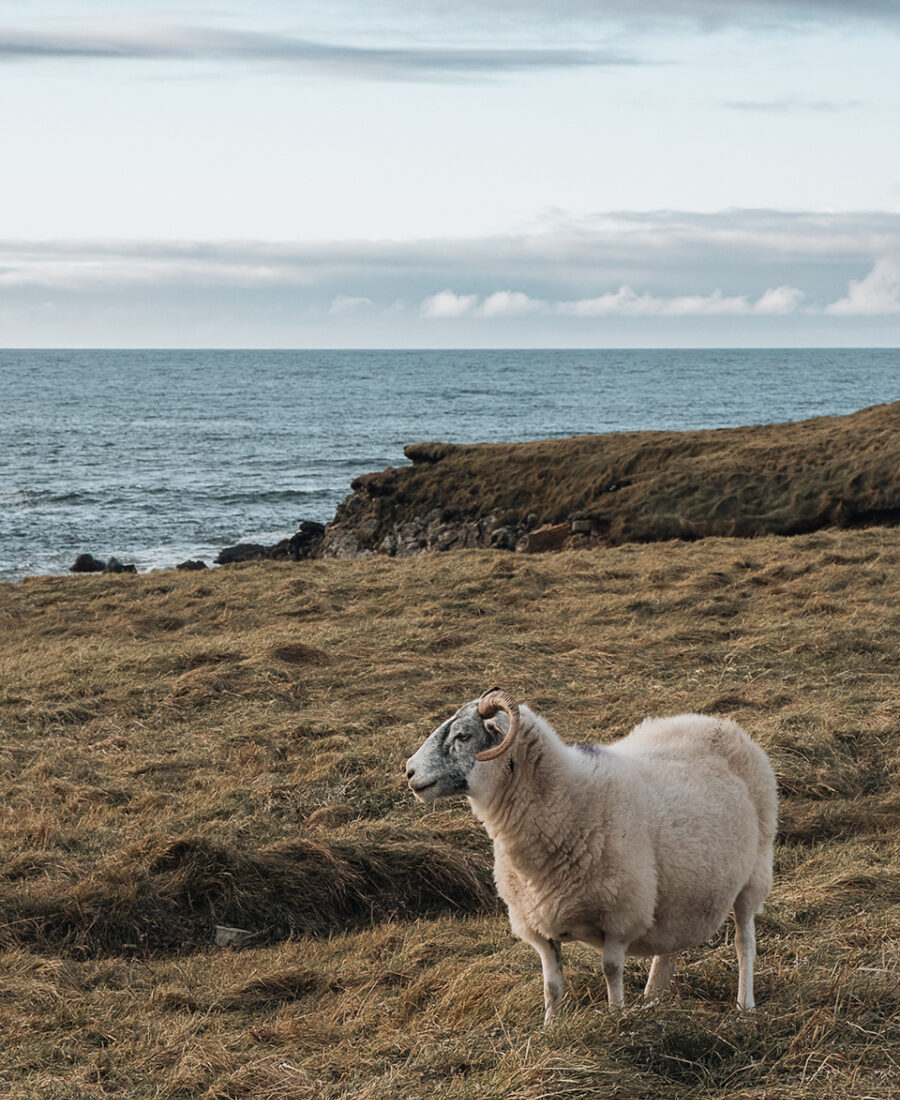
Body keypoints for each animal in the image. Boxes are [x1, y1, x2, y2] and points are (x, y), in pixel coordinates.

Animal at [405, 688, 776, 1024]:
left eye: (463, 735)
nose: (409, 771)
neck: (566, 798)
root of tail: (719, 723)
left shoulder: (619, 914)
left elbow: (611, 970)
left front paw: (615, 1018)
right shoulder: (539, 927)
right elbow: (551, 986)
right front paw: (550, 1028)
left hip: (755, 873)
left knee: (744, 942)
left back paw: (745, 1005)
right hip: (682, 893)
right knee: (669, 949)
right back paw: (653, 1000)